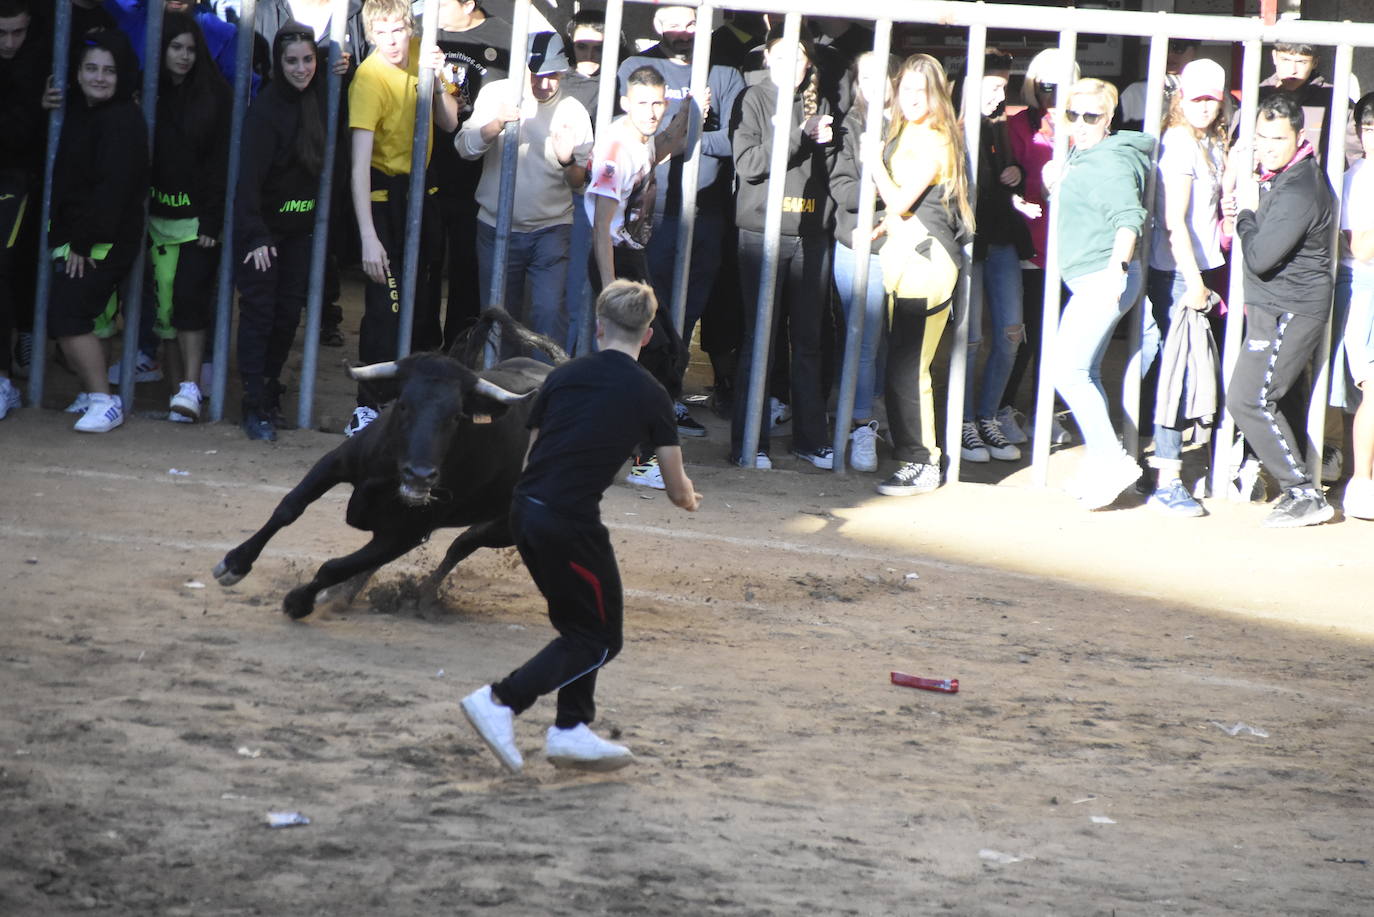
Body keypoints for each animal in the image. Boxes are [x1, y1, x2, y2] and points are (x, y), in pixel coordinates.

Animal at [212, 318, 563, 621]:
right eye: (404, 405)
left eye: (456, 416)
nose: (420, 475)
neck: (390, 473)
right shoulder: (336, 462)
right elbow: (289, 507)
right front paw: (234, 564)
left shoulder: (406, 533)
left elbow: (335, 566)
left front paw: (299, 601)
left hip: (506, 528)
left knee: (462, 544)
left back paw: (420, 596)